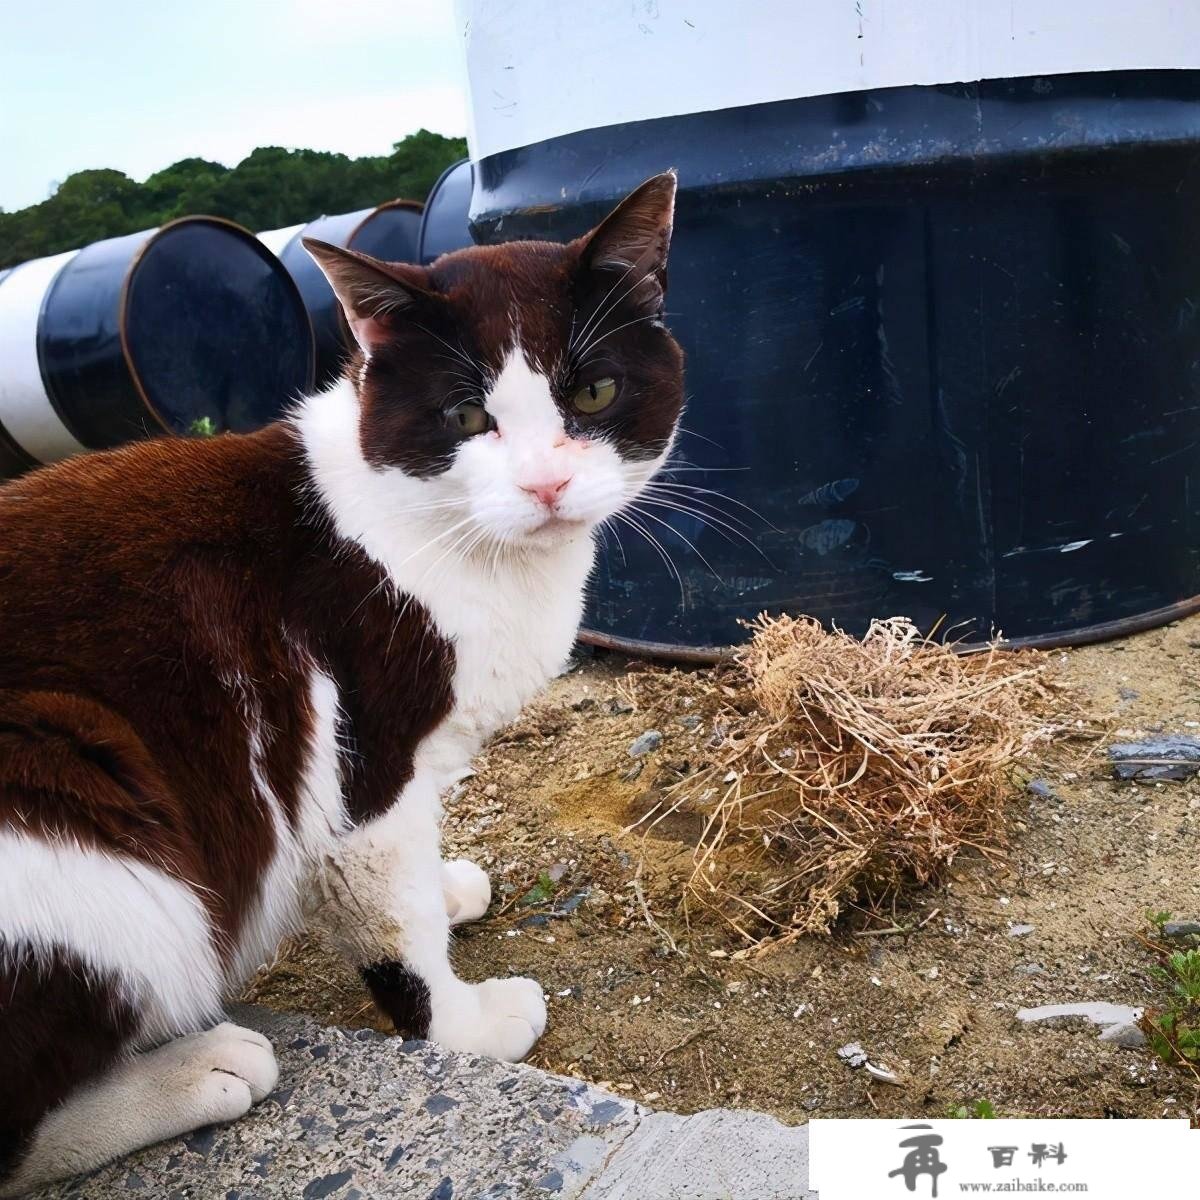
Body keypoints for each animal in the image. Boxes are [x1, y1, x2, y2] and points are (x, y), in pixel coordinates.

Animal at [0, 169, 686, 1190]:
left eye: (595, 391)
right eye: (466, 417)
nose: (546, 485)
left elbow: (412, 874)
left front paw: (443, 886)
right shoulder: (362, 754)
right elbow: (393, 921)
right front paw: (463, 1025)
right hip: (86, 816)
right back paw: (193, 1073)